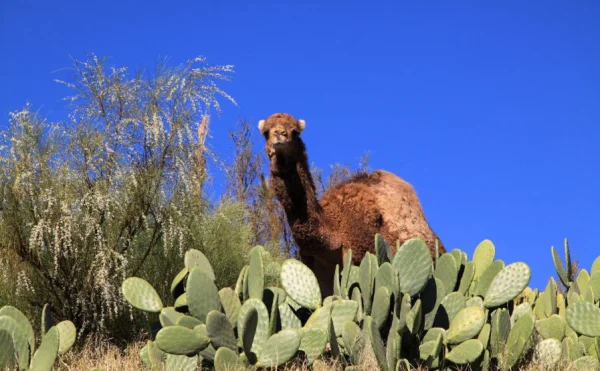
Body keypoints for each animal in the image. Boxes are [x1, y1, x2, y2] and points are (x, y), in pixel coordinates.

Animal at [258, 112, 446, 298]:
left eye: (295, 132)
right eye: (266, 132)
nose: (279, 135)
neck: (331, 230)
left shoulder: (357, 255)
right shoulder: (316, 267)